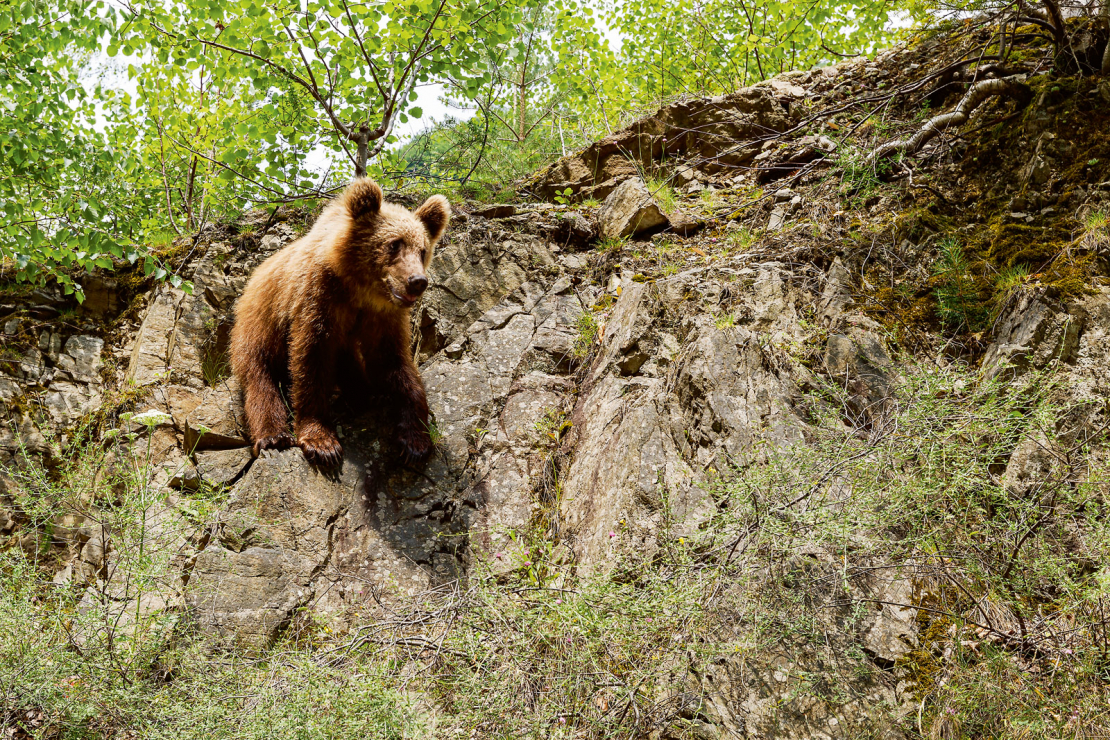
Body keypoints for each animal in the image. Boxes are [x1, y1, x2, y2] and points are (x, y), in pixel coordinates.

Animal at [230, 179, 450, 465]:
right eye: (394, 244)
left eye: (422, 250)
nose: (417, 281)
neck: (359, 289)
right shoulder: (318, 300)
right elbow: (310, 359)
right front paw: (322, 443)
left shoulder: (383, 316)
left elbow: (395, 362)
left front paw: (415, 441)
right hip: (259, 322)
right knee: (259, 375)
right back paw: (273, 436)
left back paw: (362, 394)